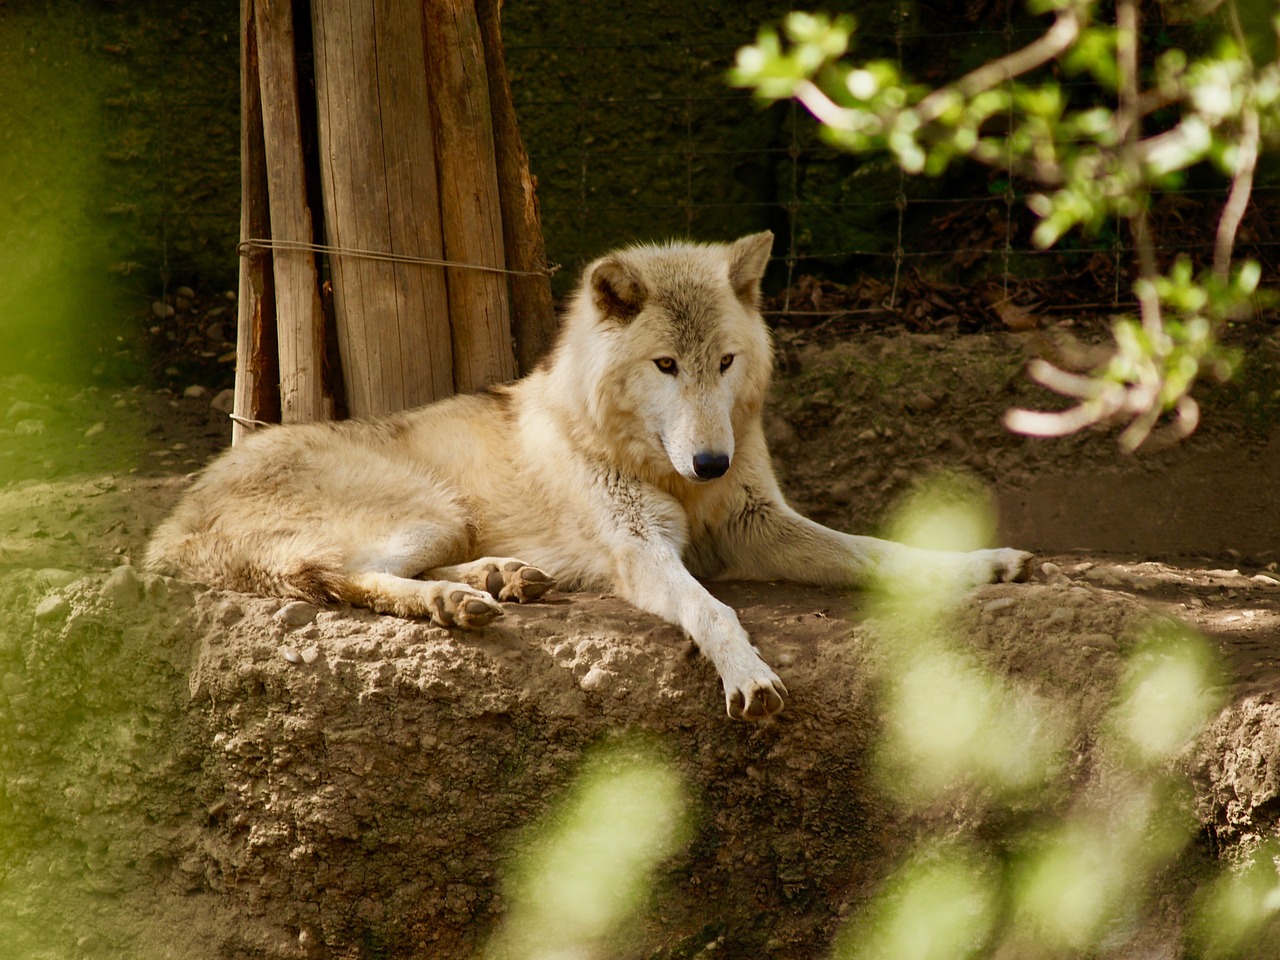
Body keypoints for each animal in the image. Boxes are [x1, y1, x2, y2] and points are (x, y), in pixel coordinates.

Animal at [147, 232, 1029, 721]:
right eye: (666, 365)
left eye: (725, 361)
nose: (712, 460)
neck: (669, 473)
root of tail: (169, 524)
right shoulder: (643, 551)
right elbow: (714, 612)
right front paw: (747, 674)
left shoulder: (758, 525)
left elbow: (881, 552)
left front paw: (983, 565)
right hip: (428, 509)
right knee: (330, 574)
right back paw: (460, 602)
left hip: (441, 522)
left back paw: (501, 579)